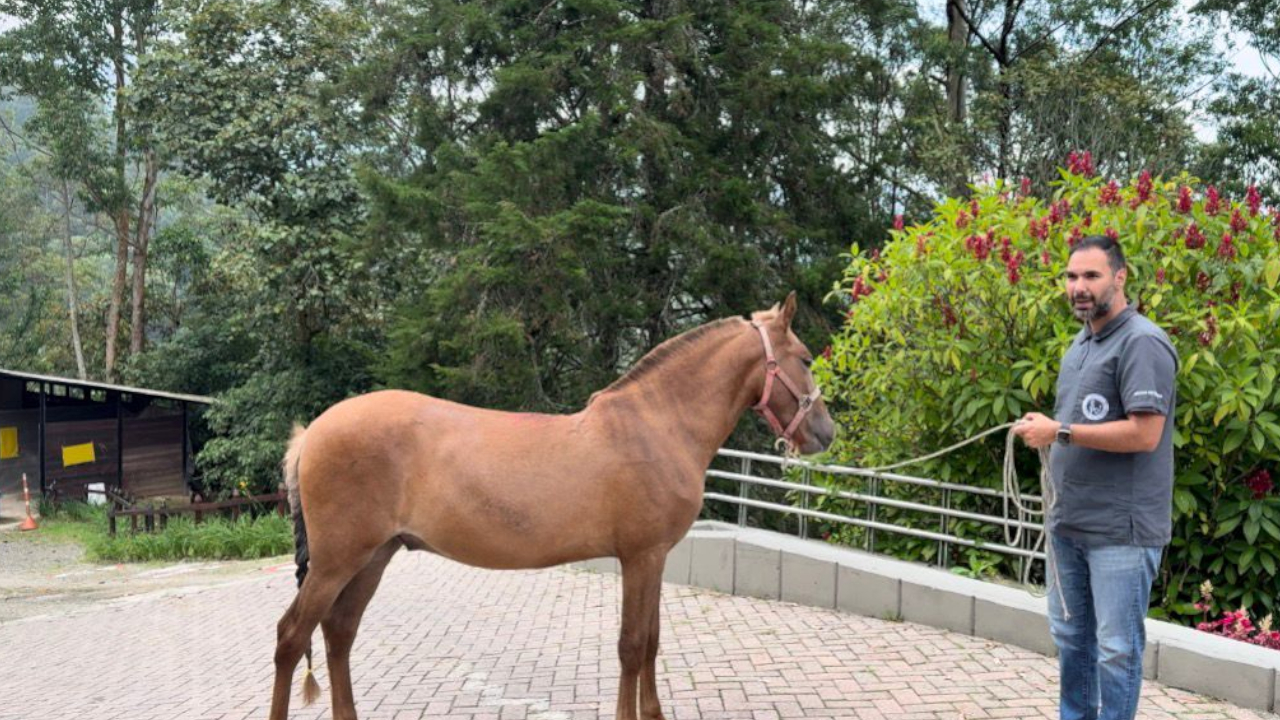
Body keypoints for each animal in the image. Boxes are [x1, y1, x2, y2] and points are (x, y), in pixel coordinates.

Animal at [268, 291, 836, 720]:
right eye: (807, 359)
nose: (826, 433)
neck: (657, 424)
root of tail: (311, 433)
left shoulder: (654, 559)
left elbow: (651, 643)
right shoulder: (641, 556)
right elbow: (632, 645)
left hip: (374, 556)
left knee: (338, 633)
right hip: (337, 561)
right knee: (291, 637)